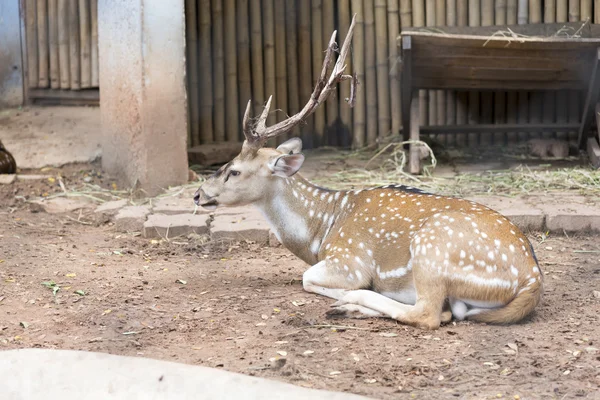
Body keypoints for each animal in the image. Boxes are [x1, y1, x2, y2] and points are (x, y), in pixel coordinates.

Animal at [193, 15, 544, 330]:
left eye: (234, 170)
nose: (198, 194)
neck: (319, 235)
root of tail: (531, 280)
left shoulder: (349, 261)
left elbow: (309, 278)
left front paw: (350, 293)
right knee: (447, 312)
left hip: (433, 248)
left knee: (429, 314)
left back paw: (351, 303)